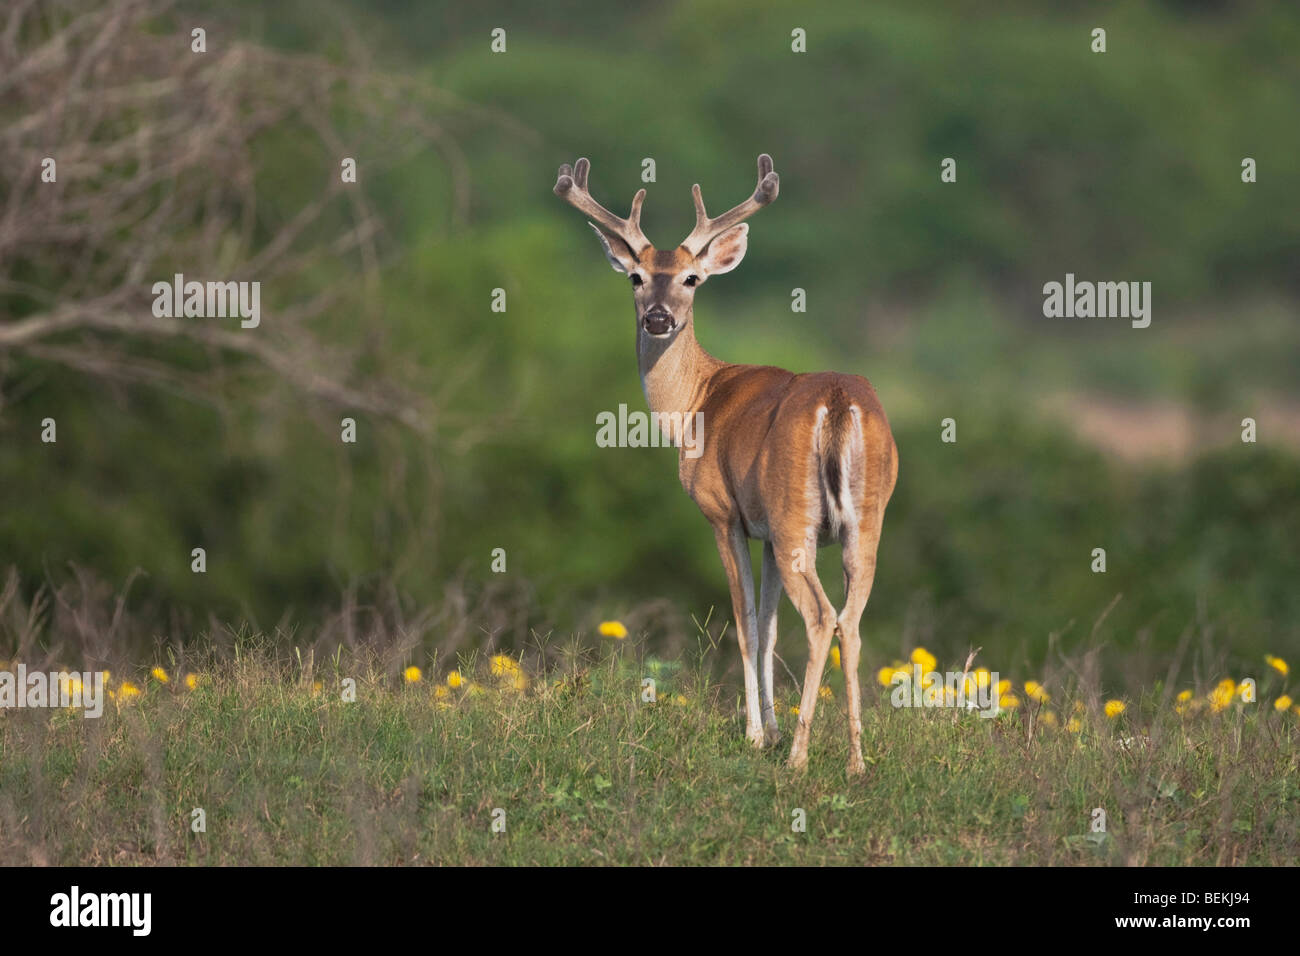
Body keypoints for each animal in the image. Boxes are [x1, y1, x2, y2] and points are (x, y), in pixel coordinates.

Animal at [553, 151, 899, 780]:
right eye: (637, 277)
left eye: (692, 279)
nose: (658, 319)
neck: (696, 400)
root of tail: (839, 401)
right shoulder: (762, 531)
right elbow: (769, 626)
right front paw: (774, 724)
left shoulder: (723, 513)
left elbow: (744, 623)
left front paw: (759, 735)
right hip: (864, 520)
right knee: (852, 620)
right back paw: (857, 760)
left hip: (794, 516)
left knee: (821, 617)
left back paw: (799, 758)